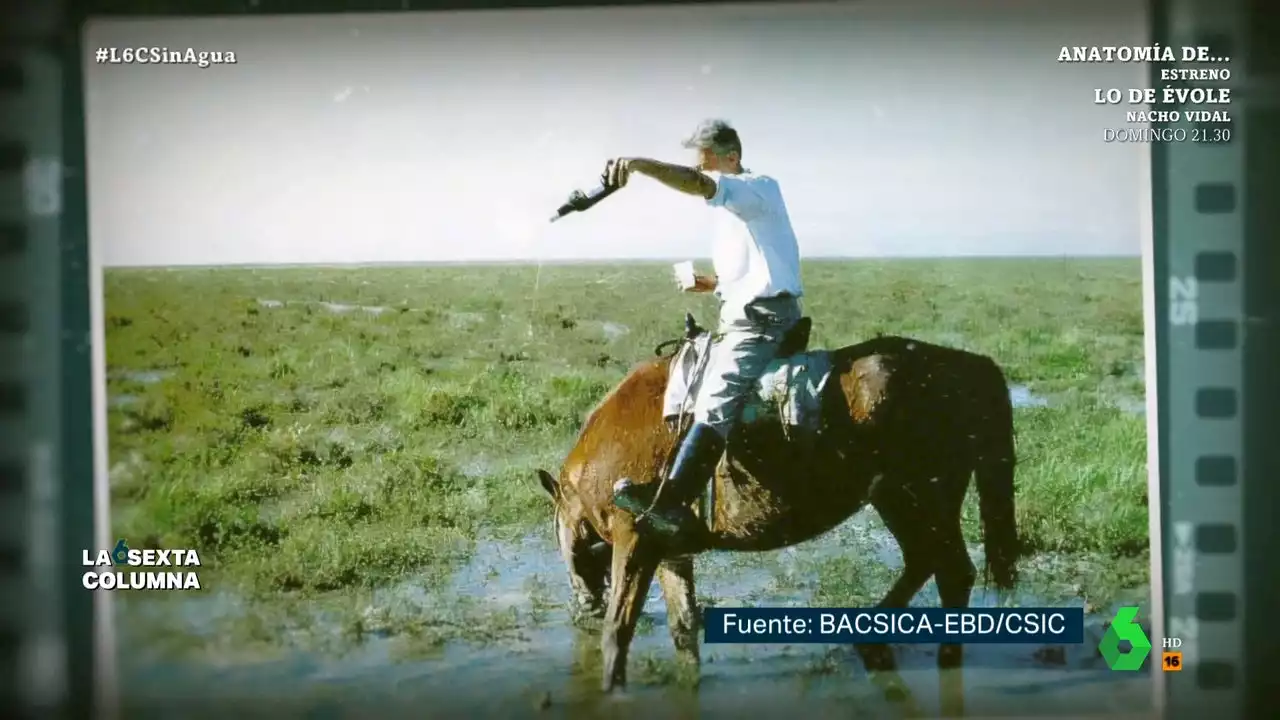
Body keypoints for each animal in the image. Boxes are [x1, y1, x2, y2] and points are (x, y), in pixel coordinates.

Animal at [529, 324, 1018, 707]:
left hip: (920, 498)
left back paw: (939, 659)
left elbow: (620, 628)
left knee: (950, 571)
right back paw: (874, 642)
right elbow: (684, 628)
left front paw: (612, 689)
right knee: (929, 563)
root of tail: (967, 366)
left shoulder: (634, 538)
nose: (583, 605)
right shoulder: (668, 551)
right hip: (901, 500)